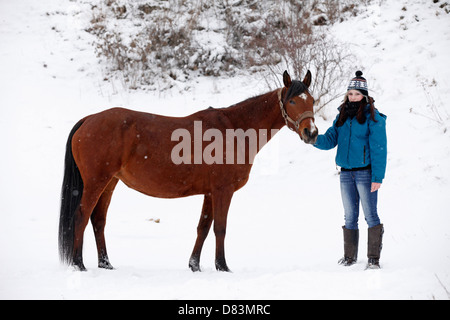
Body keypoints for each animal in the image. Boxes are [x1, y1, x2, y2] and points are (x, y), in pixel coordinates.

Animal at [59, 69, 316, 270]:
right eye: (292, 101)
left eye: (311, 100)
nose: (311, 133)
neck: (234, 129)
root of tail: (89, 119)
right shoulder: (223, 191)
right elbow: (220, 228)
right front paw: (222, 266)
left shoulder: (210, 192)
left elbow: (203, 227)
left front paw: (194, 265)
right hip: (96, 182)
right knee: (81, 216)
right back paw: (78, 264)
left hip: (109, 183)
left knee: (98, 220)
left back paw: (105, 264)